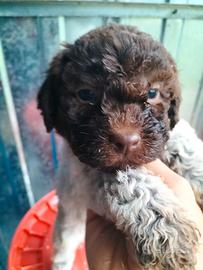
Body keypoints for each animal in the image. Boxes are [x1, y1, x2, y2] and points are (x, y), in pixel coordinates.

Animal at [37, 23, 200, 270]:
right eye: (86, 94)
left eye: (152, 93)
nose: (127, 140)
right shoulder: (84, 169)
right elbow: (127, 181)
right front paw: (164, 225)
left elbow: (180, 138)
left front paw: (198, 173)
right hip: (69, 217)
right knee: (63, 245)